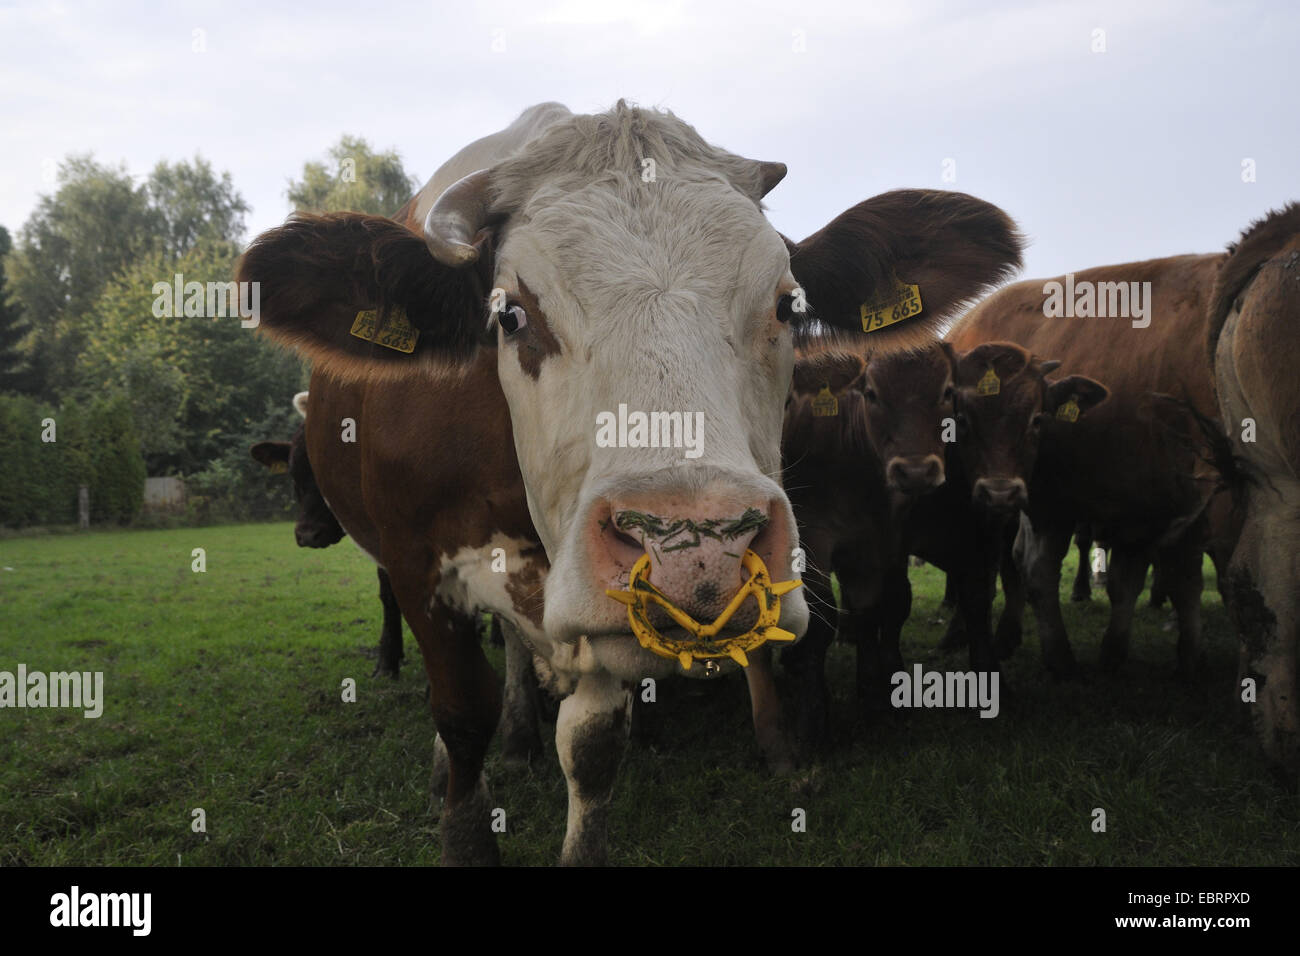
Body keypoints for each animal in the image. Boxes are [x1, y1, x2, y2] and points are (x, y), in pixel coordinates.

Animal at [236, 100, 1024, 863]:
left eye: (788, 305)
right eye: (509, 313)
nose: (699, 551)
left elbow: (592, 748)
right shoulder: (414, 562)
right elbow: (460, 715)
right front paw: (461, 810)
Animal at [946, 251, 1227, 676]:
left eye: (1037, 419)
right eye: (961, 419)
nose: (1000, 492)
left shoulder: (1147, 511)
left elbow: (1140, 579)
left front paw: (1118, 653)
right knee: (1019, 566)